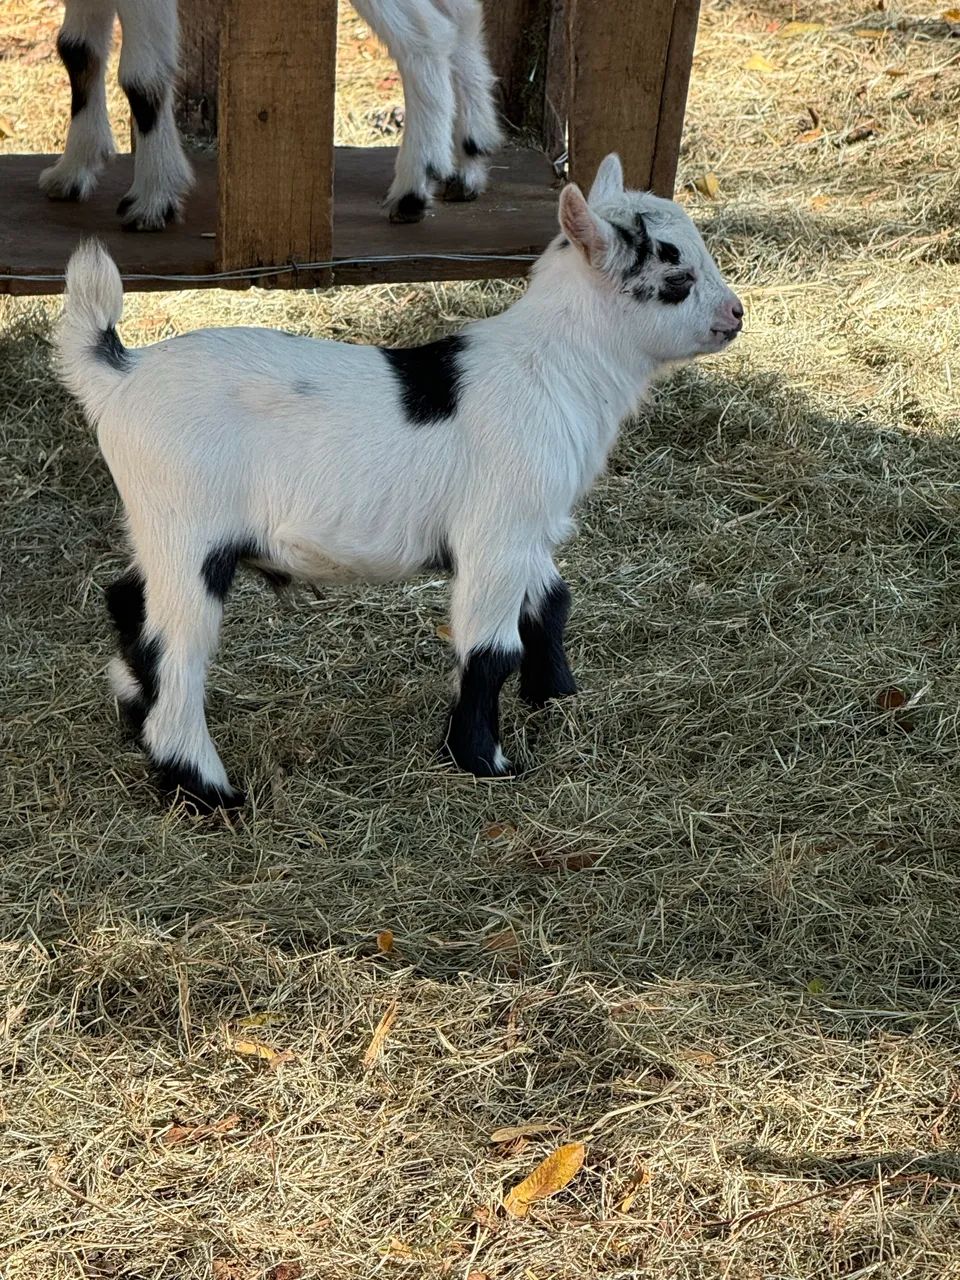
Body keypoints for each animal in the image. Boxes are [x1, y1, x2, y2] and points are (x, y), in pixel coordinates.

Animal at [42, 0, 503, 230]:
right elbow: (77, 49)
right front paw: (72, 170)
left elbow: (143, 77)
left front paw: (154, 197)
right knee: (460, 14)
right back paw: (468, 160)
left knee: (428, 32)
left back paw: (414, 186)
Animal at [58, 154, 744, 811]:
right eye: (676, 275)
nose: (736, 313)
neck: (550, 365)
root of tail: (120, 374)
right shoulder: (496, 533)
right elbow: (490, 650)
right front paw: (484, 761)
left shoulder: (529, 529)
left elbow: (551, 604)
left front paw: (557, 698)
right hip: (188, 535)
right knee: (176, 650)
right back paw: (205, 789)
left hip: (155, 526)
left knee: (128, 601)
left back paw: (135, 716)